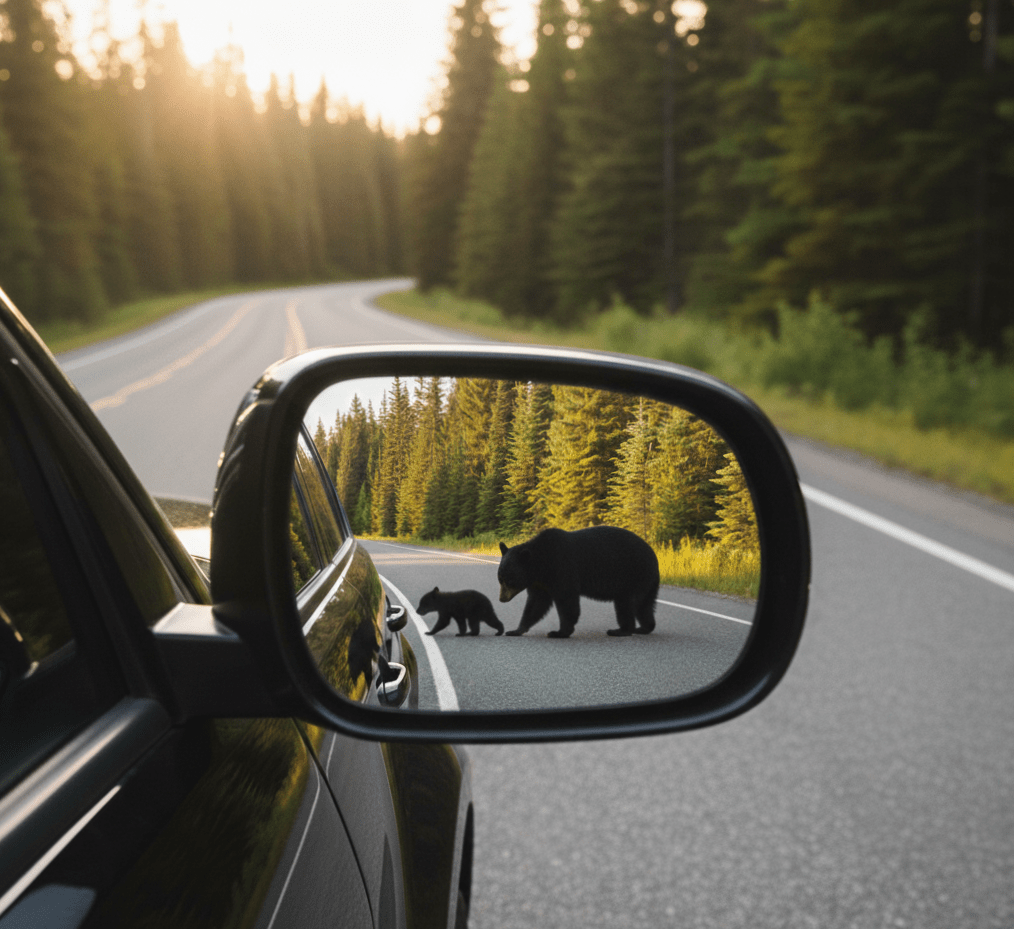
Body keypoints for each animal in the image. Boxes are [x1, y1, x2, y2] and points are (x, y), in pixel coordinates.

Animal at [497, 526, 659, 638]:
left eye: (510, 580)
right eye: (500, 578)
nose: (502, 599)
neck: (541, 565)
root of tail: (654, 556)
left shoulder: (562, 569)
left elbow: (567, 601)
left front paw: (559, 632)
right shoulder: (540, 583)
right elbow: (536, 604)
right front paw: (516, 630)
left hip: (633, 575)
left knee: (627, 604)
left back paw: (621, 630)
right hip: (645, 581)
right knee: (644, 605)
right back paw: (643, 628)